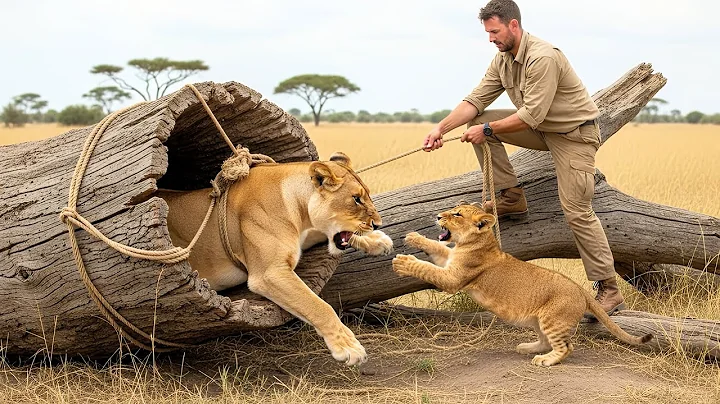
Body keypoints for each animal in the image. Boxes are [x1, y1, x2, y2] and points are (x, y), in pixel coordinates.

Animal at [157, 152, 393, 366]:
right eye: (356, 199)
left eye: (367, 195)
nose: (378, 224)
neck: (299, 209)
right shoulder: (269, 273)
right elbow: (317, 305)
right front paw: (349, 347)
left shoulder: (303, 237)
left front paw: (377, 241)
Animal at [391, 203, 652, 367]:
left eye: (457, 215)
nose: (437, 216)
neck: (476, 242)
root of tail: (580, 290)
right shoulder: (450, 261)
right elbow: (437, 247)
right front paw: (414, 237)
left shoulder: (453, 278)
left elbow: (427, 268)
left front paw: (404, 262)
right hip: (539, 319)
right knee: (546, 341)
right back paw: (526, 347)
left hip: (552, 318)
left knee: (566, 347)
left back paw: (545, 360)